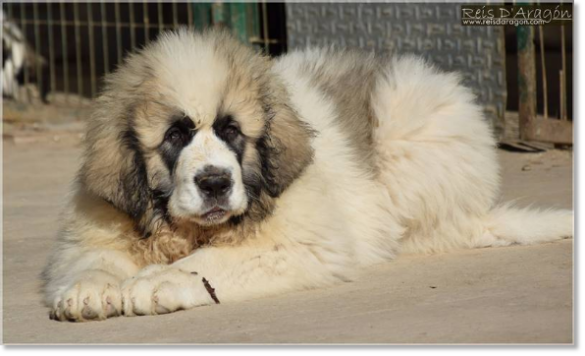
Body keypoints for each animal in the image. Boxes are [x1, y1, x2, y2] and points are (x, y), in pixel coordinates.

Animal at [41, 29, 572, 322]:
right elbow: (91, 258)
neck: (186, 232)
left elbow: (217, 260)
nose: (214, 183)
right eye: (174, 135)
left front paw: (158, 281)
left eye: (232, 131)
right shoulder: (100, 223)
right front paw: (90, 288)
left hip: (408, 131)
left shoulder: (301, 243)